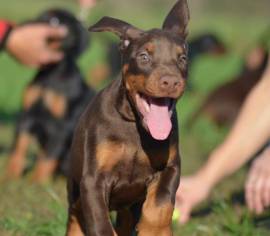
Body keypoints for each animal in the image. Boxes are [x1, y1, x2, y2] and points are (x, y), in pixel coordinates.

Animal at [6, 9, 95, 182]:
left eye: (55, 21)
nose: (25, 24)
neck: (50, 74)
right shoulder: (27, 115)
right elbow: (18, 146)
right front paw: (10, 176)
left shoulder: (62, 124)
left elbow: (48, 155)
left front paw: (36, 182)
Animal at [66, 0, 190, 235]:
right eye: (144, 56)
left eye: (182, 58)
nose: (170, 82)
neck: (135, 125)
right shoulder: (93, 180)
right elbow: (100, 224)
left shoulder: (170, 167)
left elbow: (160, 205)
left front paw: (153, 229)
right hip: (75, 193)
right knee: (76, 217)